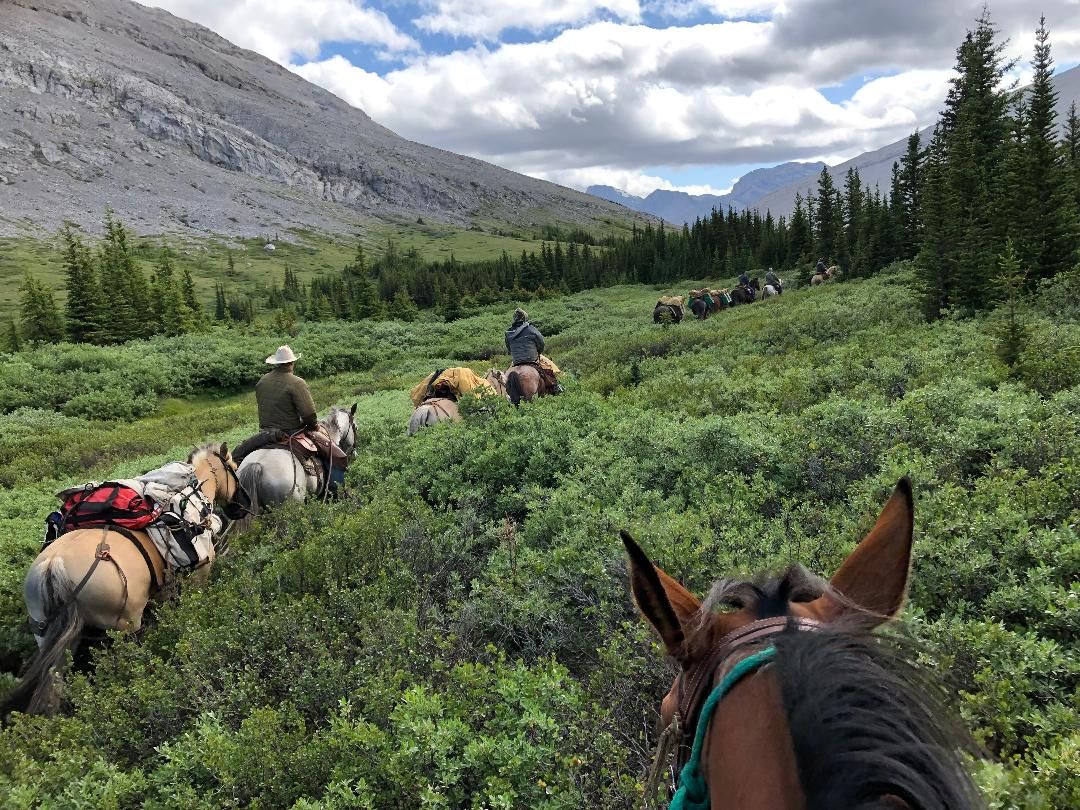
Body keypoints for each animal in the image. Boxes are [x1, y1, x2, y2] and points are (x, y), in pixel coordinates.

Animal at [3, 444, 244, 717]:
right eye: (233, 467)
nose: (239, 508)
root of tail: (54, 566)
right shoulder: (200, 575)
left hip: (48, 635)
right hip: (126, 626)